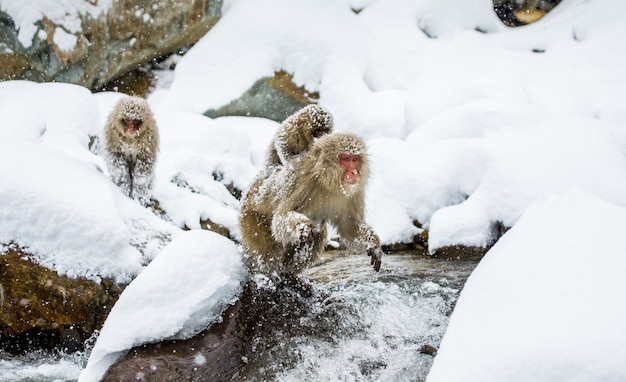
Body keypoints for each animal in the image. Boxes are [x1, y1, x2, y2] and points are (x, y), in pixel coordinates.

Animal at [238, 132, 380, 274]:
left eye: (355, 159)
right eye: (346, 159)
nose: (354, 172)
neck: (328, 183)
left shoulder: (354, 192)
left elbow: (348, 226)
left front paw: (373, 243)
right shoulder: (302, 181)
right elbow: (280, 218)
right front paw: (302, 226)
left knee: (318, 232)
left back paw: (287, 271)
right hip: (251, 217)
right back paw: (267, 272)